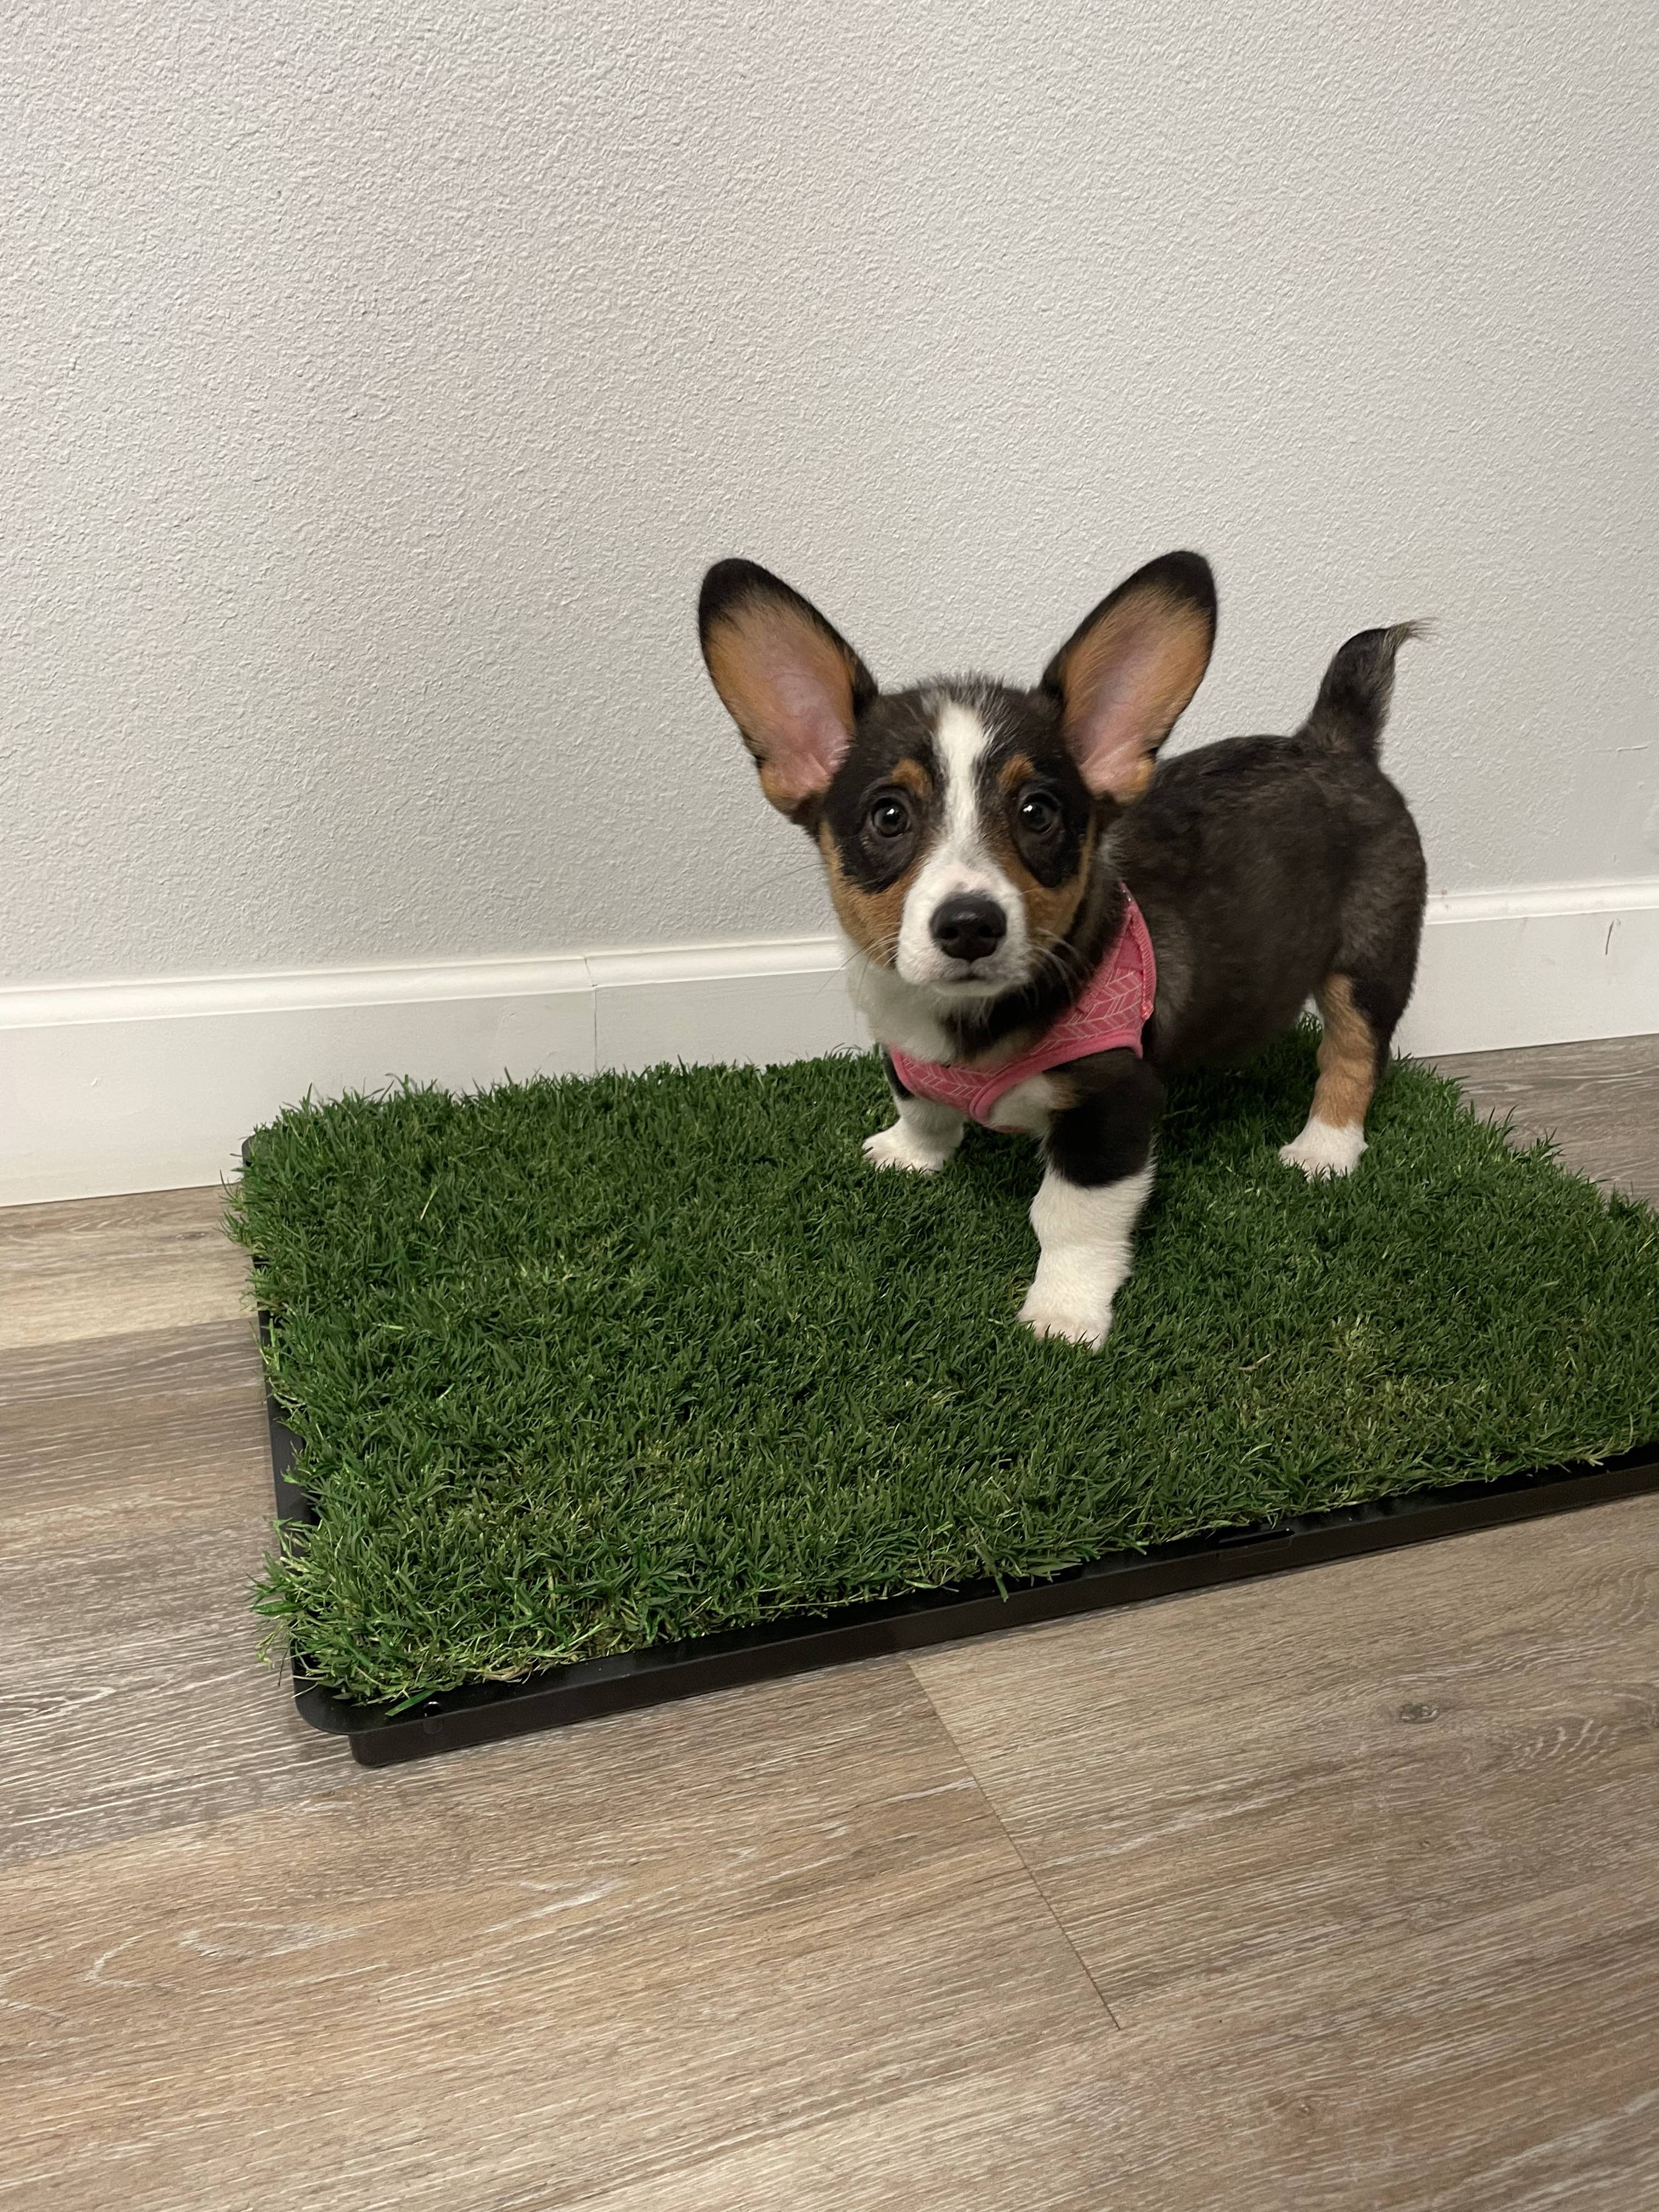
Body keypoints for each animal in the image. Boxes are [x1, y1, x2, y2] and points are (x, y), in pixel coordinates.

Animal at [699, 557, 1433, 1345]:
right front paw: (909, 1154)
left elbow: (1069, 1217)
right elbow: (919, 1102)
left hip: (1368, 963)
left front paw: (1063, 1311)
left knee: (1354, 1055)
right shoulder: (900, 1040)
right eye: (888, 815)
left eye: (1038, 812)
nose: (970, 926)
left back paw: (1324, 1149)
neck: (969, 1022)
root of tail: (1335, 742)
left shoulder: (1111, 1104)